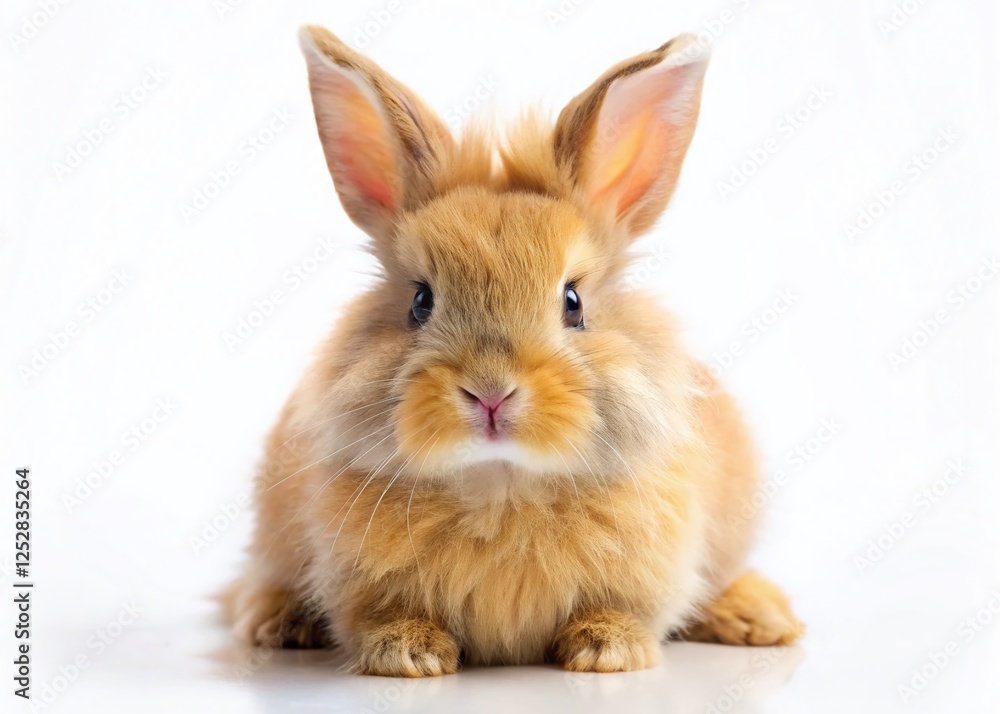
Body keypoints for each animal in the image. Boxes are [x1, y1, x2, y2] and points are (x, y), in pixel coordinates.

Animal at [221, 24, 804, 677]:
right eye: (420, 301)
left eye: (573, 302)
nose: (490, 393)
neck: (501, 484)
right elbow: (382, 615)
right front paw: (409, 654)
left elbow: (622, 610)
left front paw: (608, 651)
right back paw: (278, 623)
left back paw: (759, 618)